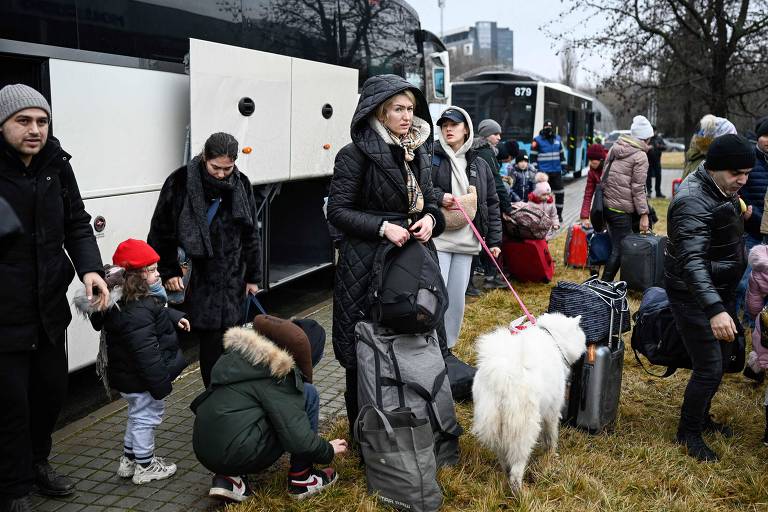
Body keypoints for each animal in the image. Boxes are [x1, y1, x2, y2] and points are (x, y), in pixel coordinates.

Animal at [472, 312, 584, 492]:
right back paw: (519, 492)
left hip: (495, 425)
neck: (552, 337)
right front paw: (552, 454)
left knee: (504, 459)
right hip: (524, 429)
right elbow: (551, 436)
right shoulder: (552, 411)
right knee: (517, 465)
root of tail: (503, 377)